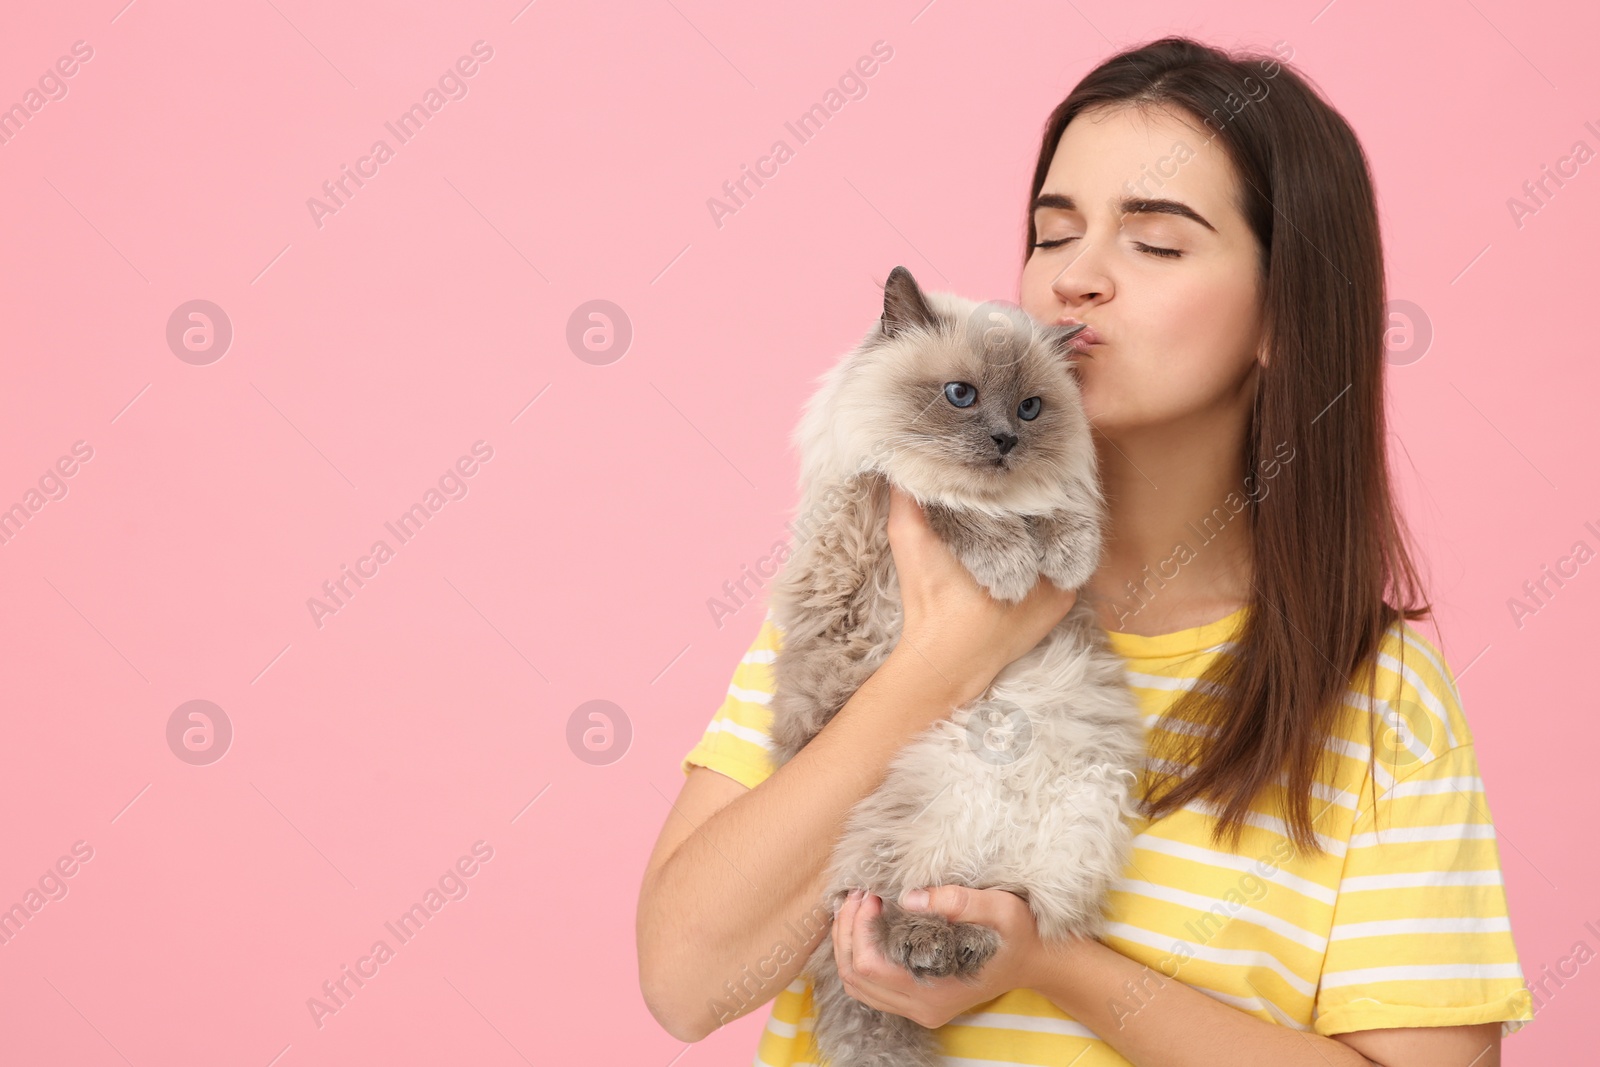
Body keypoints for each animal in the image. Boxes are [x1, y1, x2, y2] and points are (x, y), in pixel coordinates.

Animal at [768, 265, 1145, 1067]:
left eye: (1031, 408)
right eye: (960, 395)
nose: (1004, 440)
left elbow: (1059, 514)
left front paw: (1062, 553)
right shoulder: (878, 497)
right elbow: (946, 504)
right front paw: (1011, 565)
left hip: (1076, 816)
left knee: (1005, 899)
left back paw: (960, 941)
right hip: (919, 808)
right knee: (883, 901)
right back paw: (925, 942)